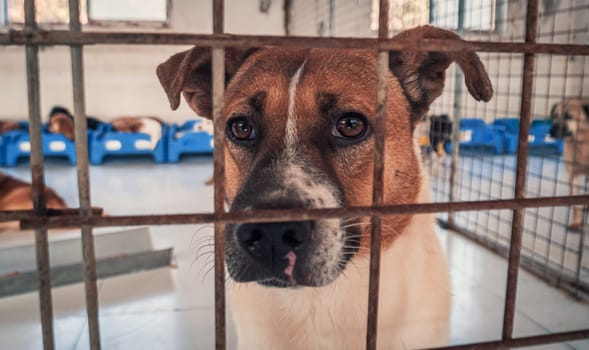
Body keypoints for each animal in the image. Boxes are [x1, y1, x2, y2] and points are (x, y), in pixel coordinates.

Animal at [548, 98, 588, 232]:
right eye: (555, 116)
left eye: (568, 116)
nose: (550, 132)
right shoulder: (573, 176)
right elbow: (575, 204)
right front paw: (576, 222)